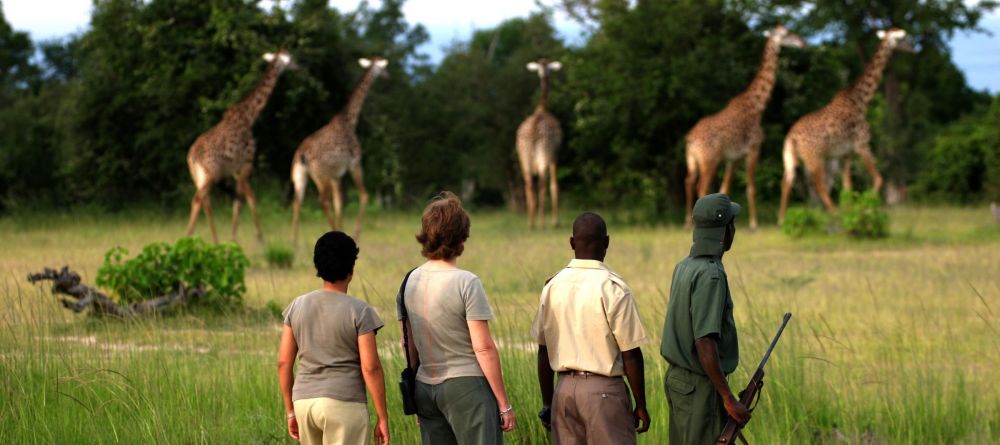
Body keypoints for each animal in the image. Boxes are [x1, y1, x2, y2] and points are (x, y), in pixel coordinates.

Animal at [186, 49, 292, 243]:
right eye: (290, 59)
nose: (296, 66)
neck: (249, 115)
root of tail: (192, 157)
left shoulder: (237, 170)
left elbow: (244, 198)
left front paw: (242, 237)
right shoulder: (247, 163)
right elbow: (246, 199)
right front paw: (251, 238)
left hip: (199, 176)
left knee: (205, 201)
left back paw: (212, 239)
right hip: (211, 174)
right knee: (199, 200)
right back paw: (191, 237)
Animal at [292, 57, 388, 243]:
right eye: (383, 67)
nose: (387, 75)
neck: (349, 120)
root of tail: (302, 155)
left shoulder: (336, 175)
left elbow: (339, 204)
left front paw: (341, 230)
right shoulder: (354, 163)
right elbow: (363, 196)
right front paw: (354, 233)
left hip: (301, 175)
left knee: (297, 202)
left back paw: (295, 243)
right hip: (321, 176)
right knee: (322, 200)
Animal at [516, 57, 564, 227]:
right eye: (550, 69)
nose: (544, 74)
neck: (542, 108)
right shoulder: (556, 154)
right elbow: (554, 185)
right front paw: (555, 221)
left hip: (523, 156)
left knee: (528, 183)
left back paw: (531, 223)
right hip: (545, 152)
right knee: (543, 183)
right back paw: (543, 222)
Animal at [680, 23, 804, 229]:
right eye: (786, 33)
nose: (802, 42)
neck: (757, 106)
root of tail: (690, 139)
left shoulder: (734, 158)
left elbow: (725, 189)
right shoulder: (753, 149)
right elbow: (751, 187)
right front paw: (754, 224)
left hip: (692, 160)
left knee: (689, 182)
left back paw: (686, 223)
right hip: (710, 159)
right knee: (701, 187)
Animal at [776, 27, 912, 222]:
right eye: (903, 37)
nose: (912, 47)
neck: (860, 100)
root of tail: (791, 137)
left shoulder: (845, 154)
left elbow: (848, 186)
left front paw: (852, 212)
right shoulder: (861, 145)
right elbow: (878, 179)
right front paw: (866, 209)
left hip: (791, 157)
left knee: (788, 181)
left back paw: (783, 219)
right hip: (815, 158)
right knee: (818, 185)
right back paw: (833, 214)